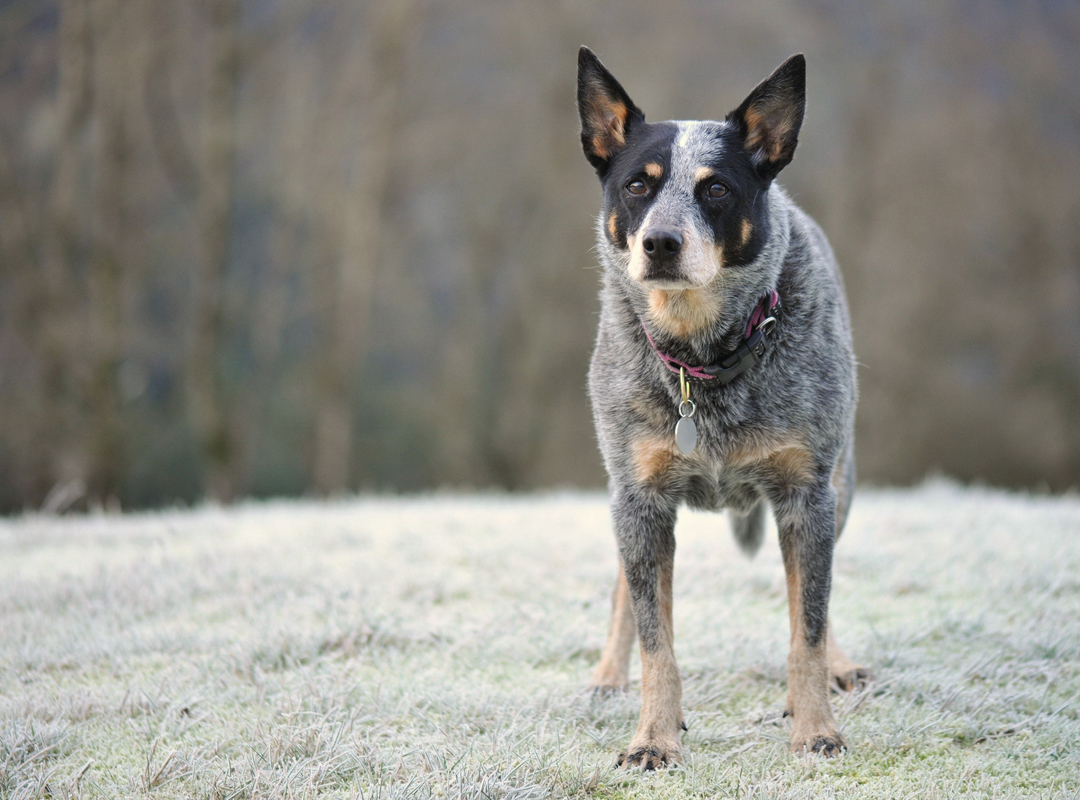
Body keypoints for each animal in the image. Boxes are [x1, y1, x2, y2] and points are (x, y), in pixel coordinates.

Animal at [574, 45, 868, 768]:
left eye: (715, 189)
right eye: (638, 186)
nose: (660, 242)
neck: (702, 357)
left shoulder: (806, 493)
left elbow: (807, 624)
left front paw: (815, 729)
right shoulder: (640, 498)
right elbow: (656, 638)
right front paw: (653, 738)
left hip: (840, 485)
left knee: (816, 593)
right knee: (625, 590)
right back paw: (607, 676)